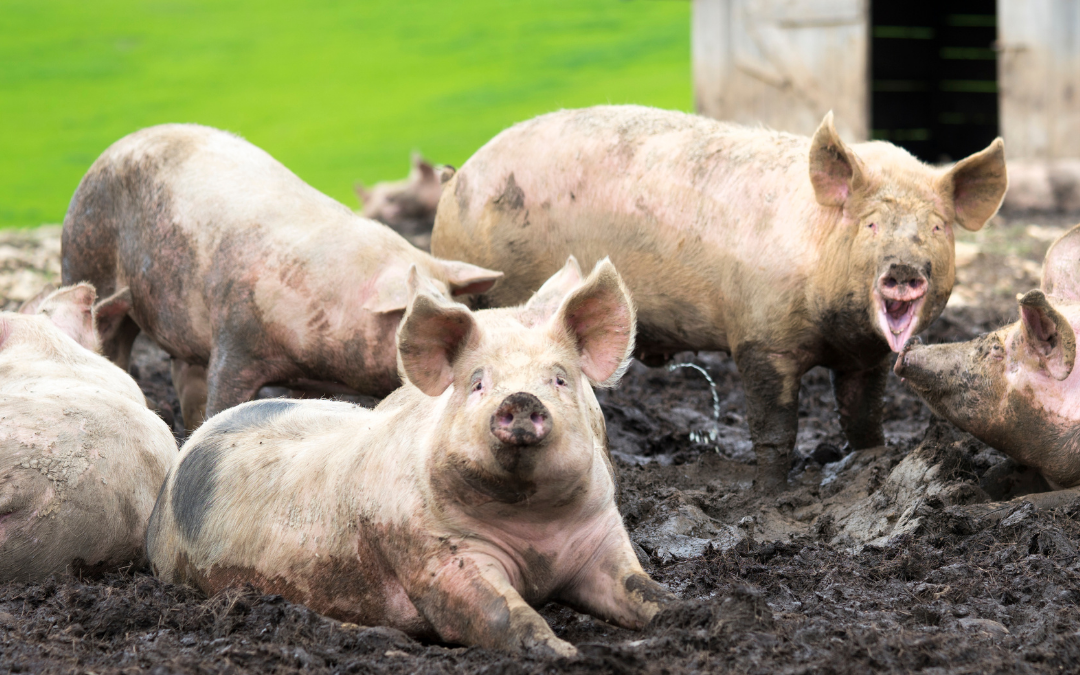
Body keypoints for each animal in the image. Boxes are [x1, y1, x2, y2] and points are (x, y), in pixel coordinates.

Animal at [65, 125, 503, 432]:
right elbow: (223, 397)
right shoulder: (235, 334)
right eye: (408, 313)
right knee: (113, 338)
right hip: (86, 254)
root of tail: (111, 149)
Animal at [141, 258, 665, 652]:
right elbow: (496, 612)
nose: (520, 399)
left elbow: (640, 586)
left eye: (559, 378)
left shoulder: (602, 531)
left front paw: (675, 613)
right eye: (476, 382)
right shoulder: (435, 555)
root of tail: (193, 442)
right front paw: (562, 652)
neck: (536, 528)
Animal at [427, 102, 1002, 486]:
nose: (903, 269)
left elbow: (863, 417)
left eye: (935, 227)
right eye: (873, 225)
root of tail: (456, 180)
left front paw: (867, 466)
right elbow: (775, 425)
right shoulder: (759, 337)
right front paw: (770, 494)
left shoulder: (867, 356)